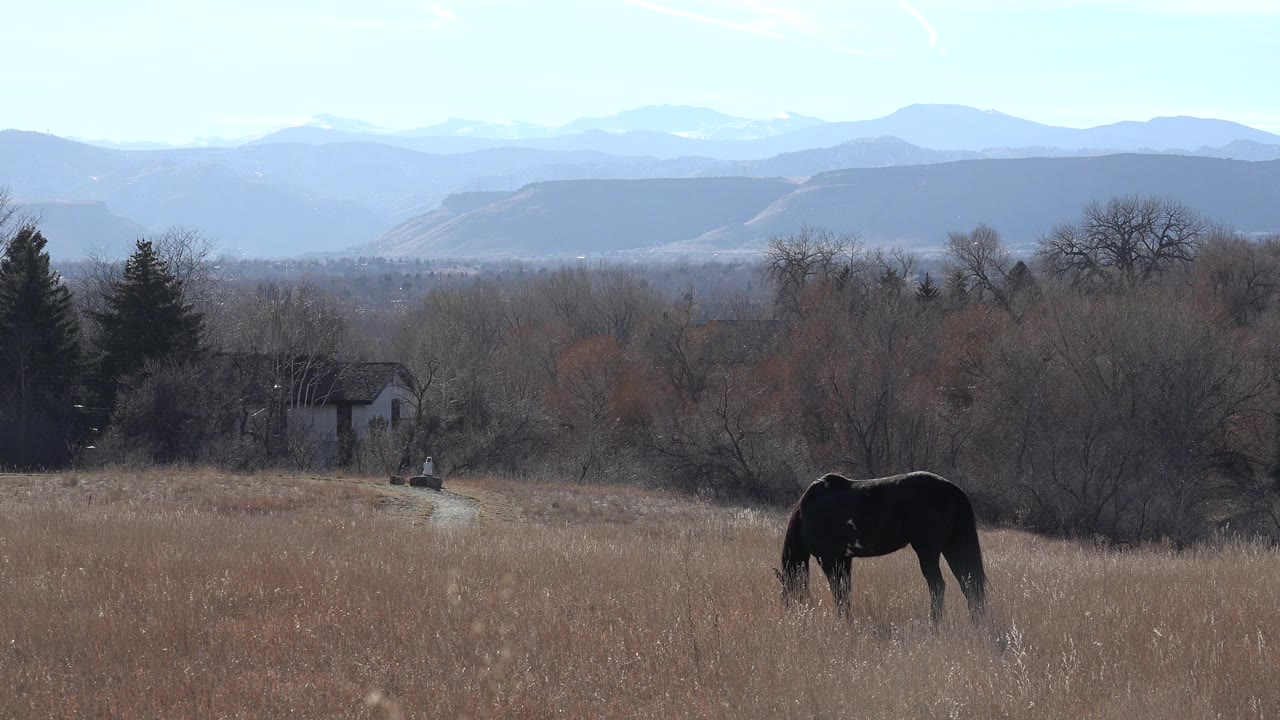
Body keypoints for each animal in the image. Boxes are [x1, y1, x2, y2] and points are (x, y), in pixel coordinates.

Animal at [774, 472, 986, 625]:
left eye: (786, 593)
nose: (793, 615)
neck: (807, 512)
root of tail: (952, 489)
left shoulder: (828, 558)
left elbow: (838, 592)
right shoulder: (844, 559)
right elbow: (844, 590)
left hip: (928, 551)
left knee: (938, 586)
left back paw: (934, 626)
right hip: (954, 547)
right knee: (970, 586)